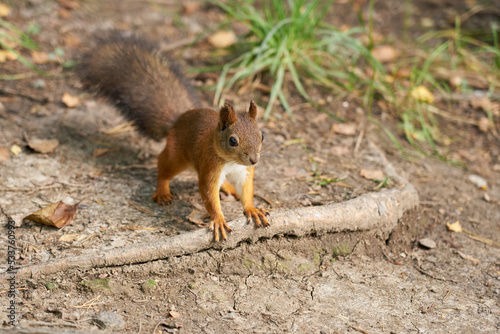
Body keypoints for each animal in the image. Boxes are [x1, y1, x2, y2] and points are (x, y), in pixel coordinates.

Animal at [77, 32, 270, 241]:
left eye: (262, 135)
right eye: (233, 141)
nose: (254, 160)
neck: (232, 162)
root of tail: (177, 120)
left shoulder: (244, 172)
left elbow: (246, 191)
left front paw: (252, 209)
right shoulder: (210, 166)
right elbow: (208, 193)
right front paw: (218, 219)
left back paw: (227, 187)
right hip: (177, 157)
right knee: (163, 165)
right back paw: (162, 190)